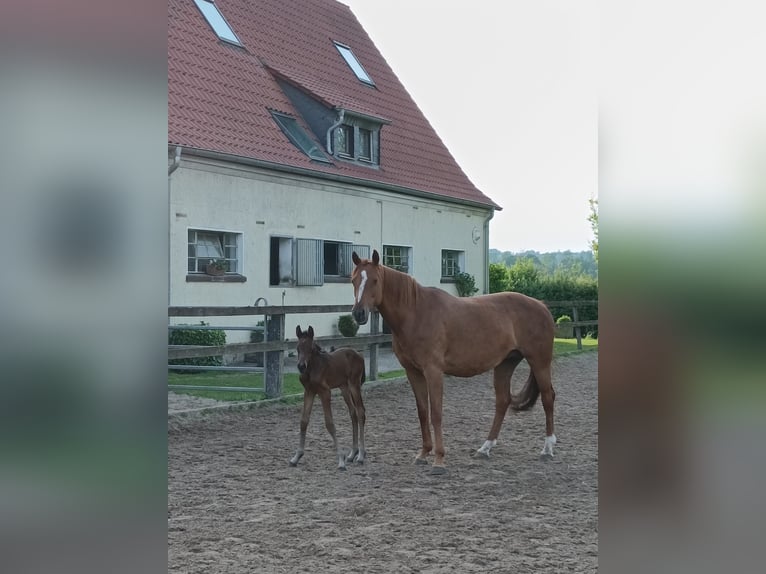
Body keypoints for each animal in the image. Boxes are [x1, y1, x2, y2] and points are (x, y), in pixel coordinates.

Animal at [292, 326, 368, 470]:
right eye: (298, 348)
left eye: (310, 348)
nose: (300, 366)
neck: (313, 368)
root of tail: (360, 354)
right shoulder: (309, 392)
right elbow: (303, 421)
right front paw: (296, 457)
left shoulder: (325, 392)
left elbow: (329, 423)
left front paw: (341, 460)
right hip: (344, 388)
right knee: (353, 412)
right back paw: (352, 454)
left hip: (354, 384)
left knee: (360, 411)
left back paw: (361, 455)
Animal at [352, 250, 556, 474]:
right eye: (353, 280)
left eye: (375, 280)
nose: (358, 313)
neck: (416, 312)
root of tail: (541, 306)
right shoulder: (413, 372)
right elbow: (422, 412)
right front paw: (423, 453)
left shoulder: (433, 371)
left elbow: (436, 413)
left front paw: (439, 459)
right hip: (505, 364)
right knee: (503, 401)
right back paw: (485, 448)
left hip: (540, 361)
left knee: (548, 398)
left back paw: (547, 449)